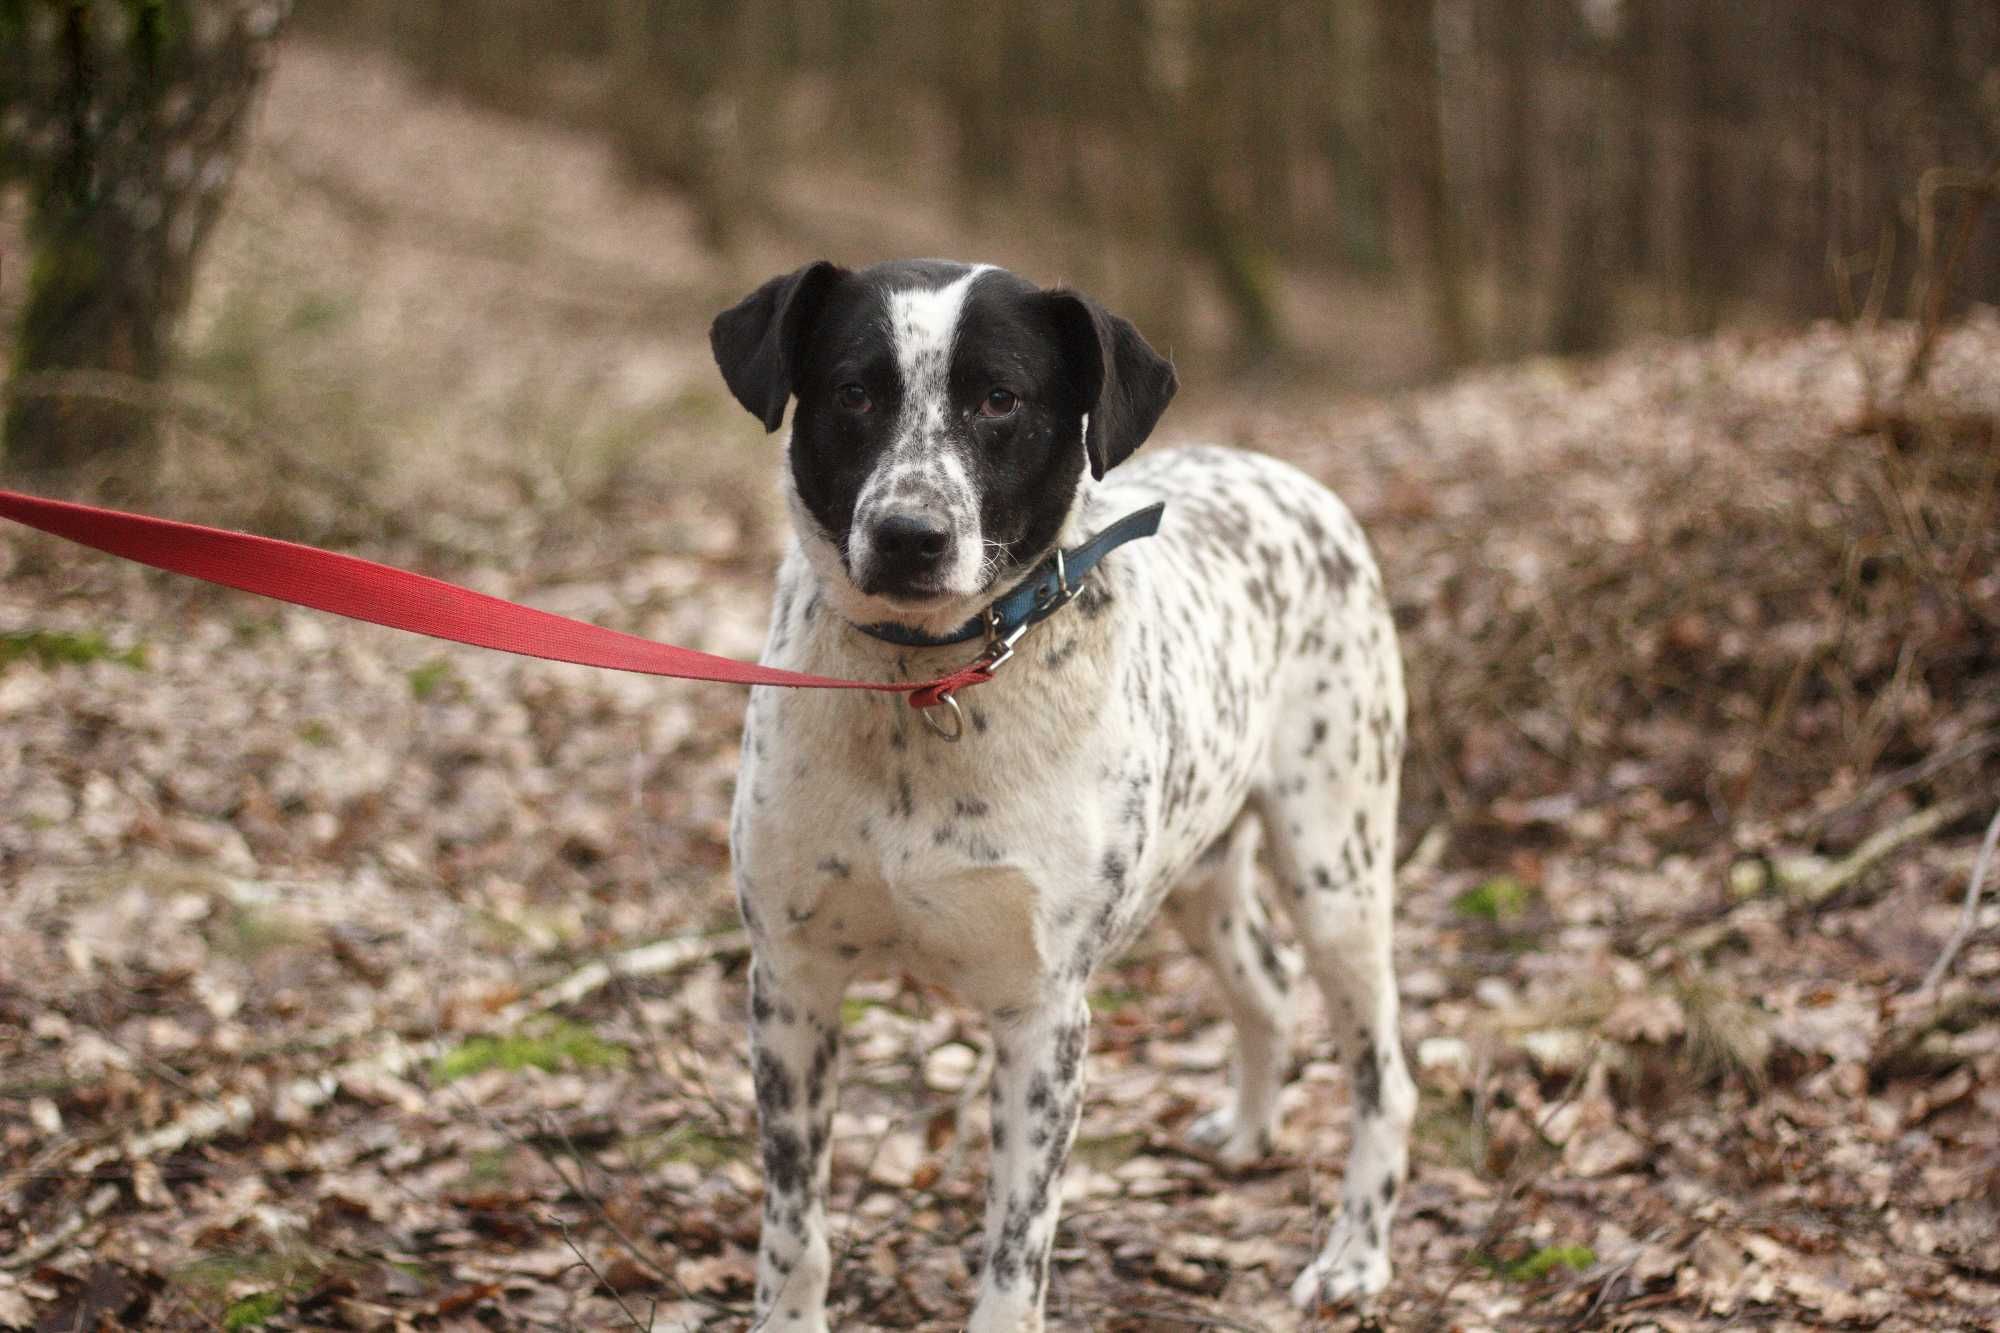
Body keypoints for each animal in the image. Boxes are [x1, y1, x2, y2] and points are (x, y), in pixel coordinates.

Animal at [712, 260, 1416, 1328]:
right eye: (854, 391)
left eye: (1000, 398)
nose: (909, 536)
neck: (927, 687)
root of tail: (1294, 479)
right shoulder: (792, 980)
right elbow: (795, 1230)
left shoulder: (1044, 1015)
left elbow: (1016, 1247)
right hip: (1197, 872)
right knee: (1266, 980)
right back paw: (1248, 1131)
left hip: (1337, 866)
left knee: (1384, 1075)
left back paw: (1357, 1254)